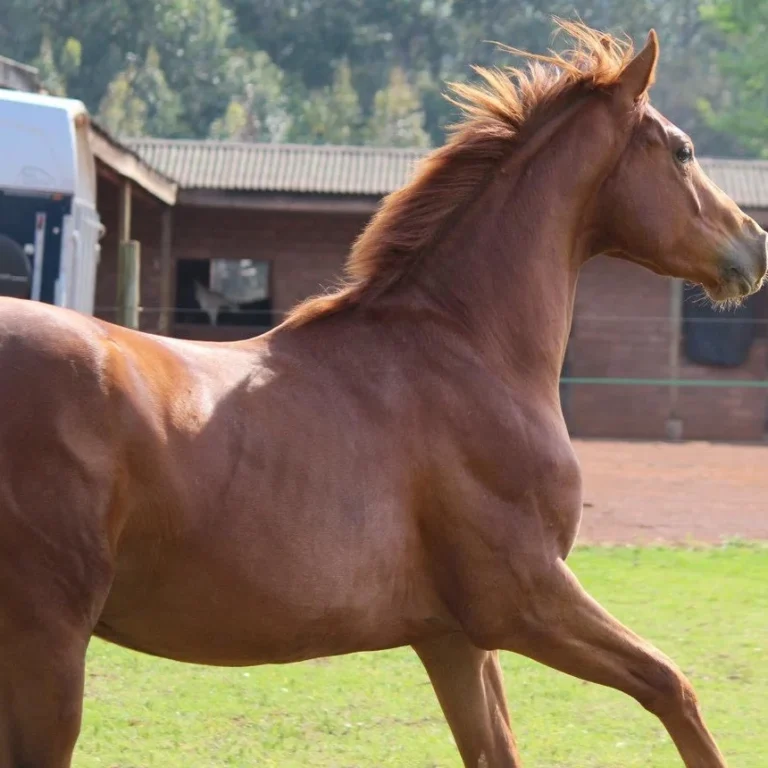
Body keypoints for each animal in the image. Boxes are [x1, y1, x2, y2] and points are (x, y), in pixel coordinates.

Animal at [1, 22, 768, 768]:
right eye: (682, 151)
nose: (755, 245)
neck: (463, 346)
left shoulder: (454, 639)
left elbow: (500, 748)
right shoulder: (524, 599)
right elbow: (672, 686)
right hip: (49, 643)